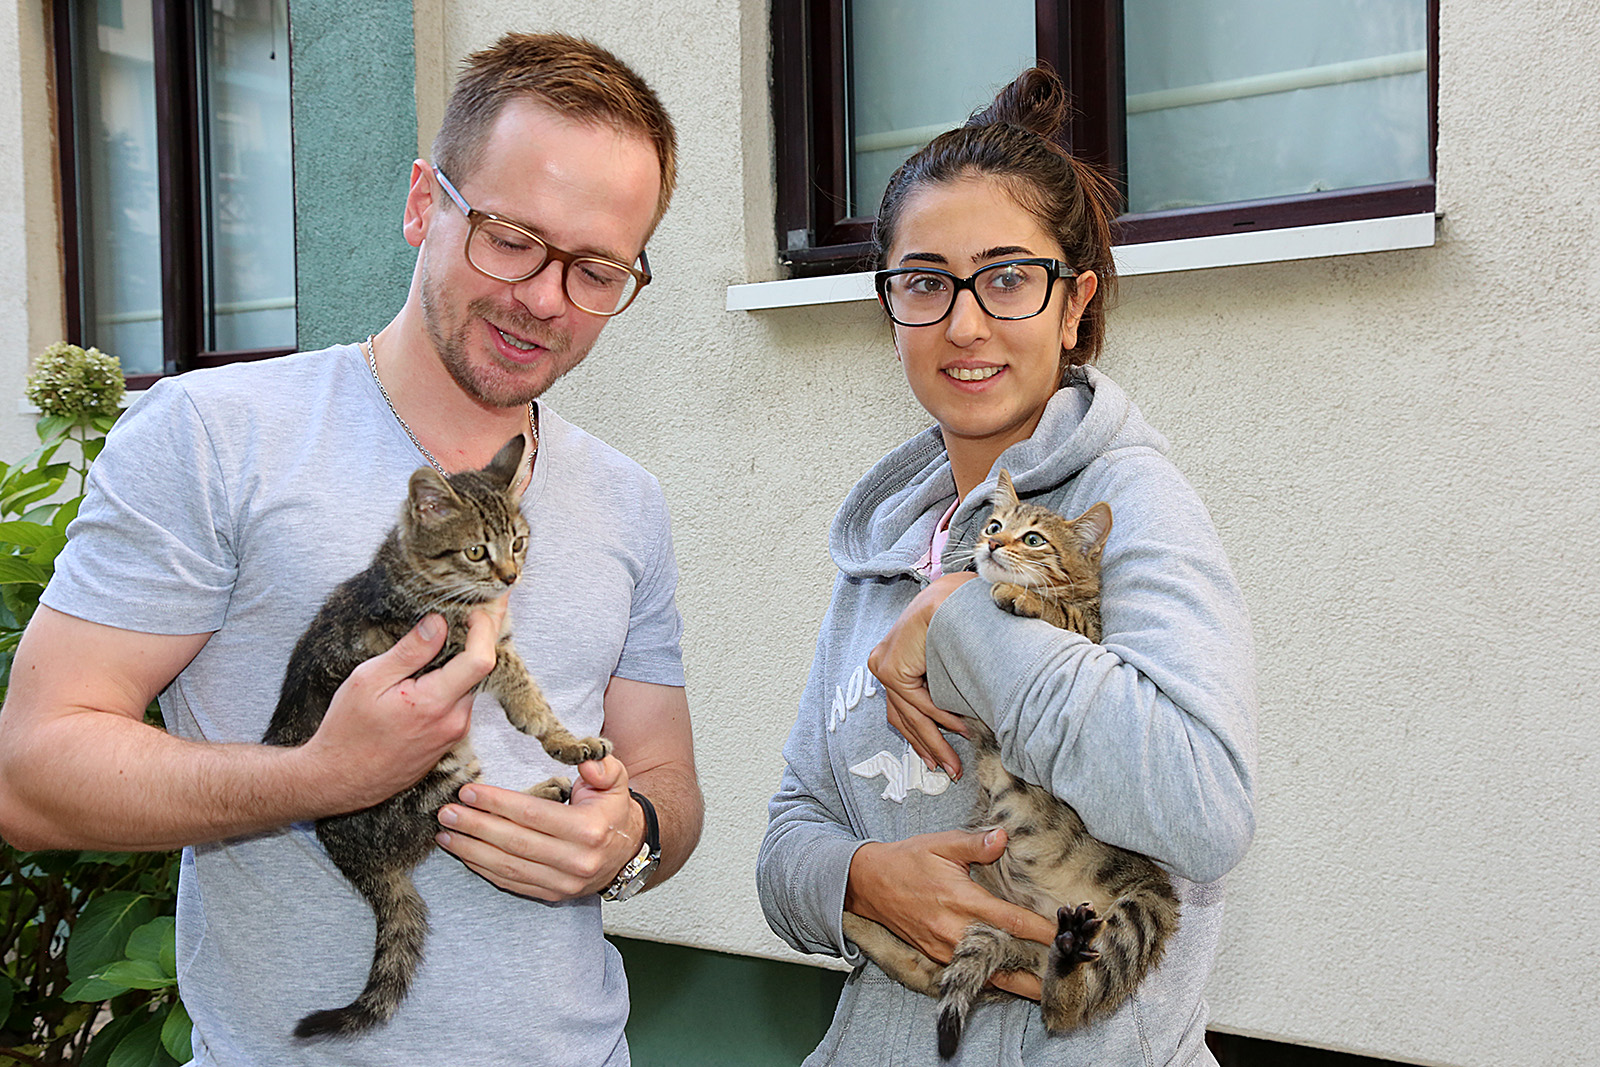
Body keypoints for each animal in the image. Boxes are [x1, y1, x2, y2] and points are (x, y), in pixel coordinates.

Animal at [261, 434, 611, 1040]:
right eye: (475, 552)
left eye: (518, 542)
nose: (510, 577)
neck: (413, 573)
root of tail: (346, 851)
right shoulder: (452, 653)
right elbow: (516, 676)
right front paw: (542, 725)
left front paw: (566, 739)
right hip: (430, 771)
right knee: (456, 814)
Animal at [843, 469, 1179, 1058]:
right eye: (996, 525)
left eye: (1034, 539)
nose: (992, 545)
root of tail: (1037, 934)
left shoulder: (1091, 635)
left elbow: (1060, 612)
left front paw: (1020, 594)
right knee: (927, 969)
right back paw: (851, 917)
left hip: (1147, 908)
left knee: (1065, 1007)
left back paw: (1068, 959)